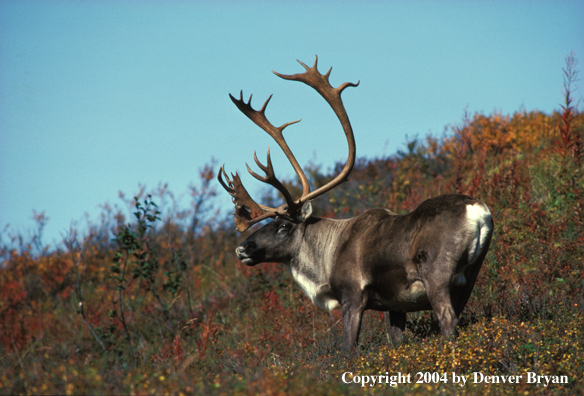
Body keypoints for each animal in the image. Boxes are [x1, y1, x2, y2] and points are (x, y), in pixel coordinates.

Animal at [219, 57, 492, 352]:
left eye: (282, 225)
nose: (242, 249)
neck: (326, 256)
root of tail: (478, 213)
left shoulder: (352, 297)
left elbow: (348, 349)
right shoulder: (395, 306)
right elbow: (395, 342)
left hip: (437, 276)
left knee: (447, 320)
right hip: (470, 276)